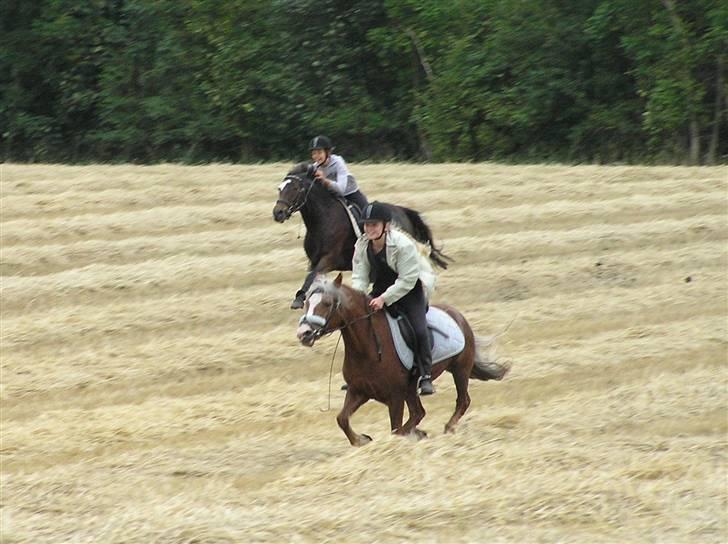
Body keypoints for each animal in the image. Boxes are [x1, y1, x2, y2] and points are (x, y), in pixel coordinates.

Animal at [294, 274, 506, 444]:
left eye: (327, 304)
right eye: (306, 303)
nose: (304, 334)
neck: (368, 348)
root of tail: (458, 315)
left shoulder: (395, 397)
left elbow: (395, 429)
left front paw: (412, 435)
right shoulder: (358, 391)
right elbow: (342, 419)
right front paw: (362, 439)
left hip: (459, 370)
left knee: (462, 401)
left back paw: (448, 428)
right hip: (412, 389)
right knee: (419, 412)